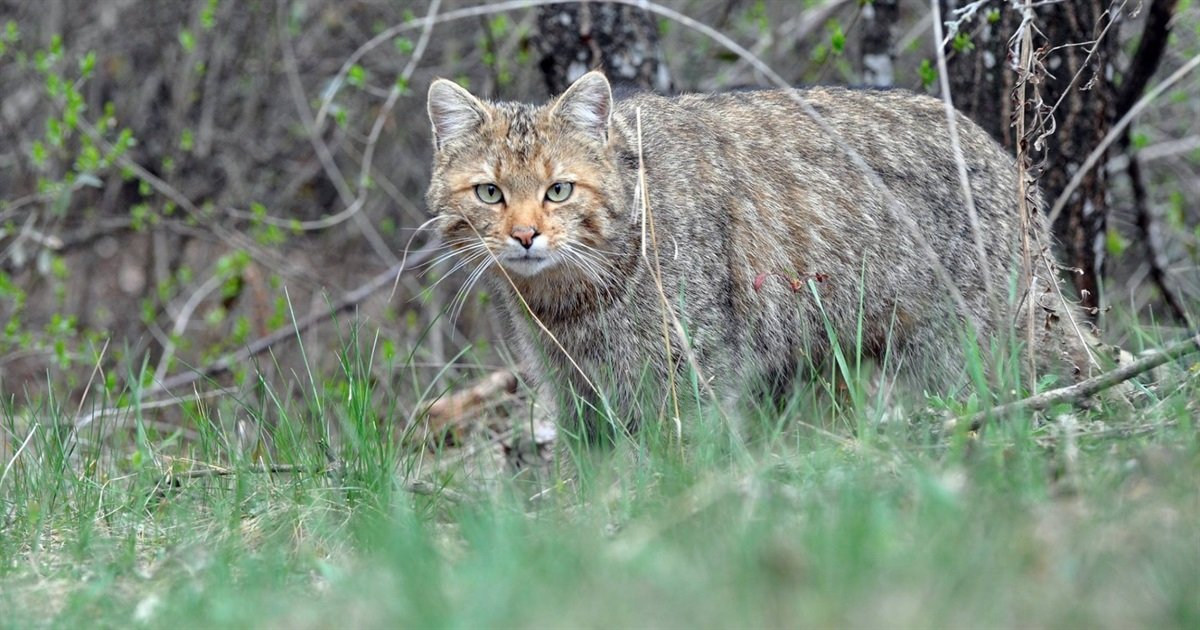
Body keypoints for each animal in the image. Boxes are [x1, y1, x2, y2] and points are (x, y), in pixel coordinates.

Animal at [424, 71, 1097, 438]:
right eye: (490, 193)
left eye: (558, 190)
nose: (525, 235)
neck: (570, 299)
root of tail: (1002, 156)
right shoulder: (577, 390)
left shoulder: (689, 375)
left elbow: (674, 461)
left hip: (968, 346)